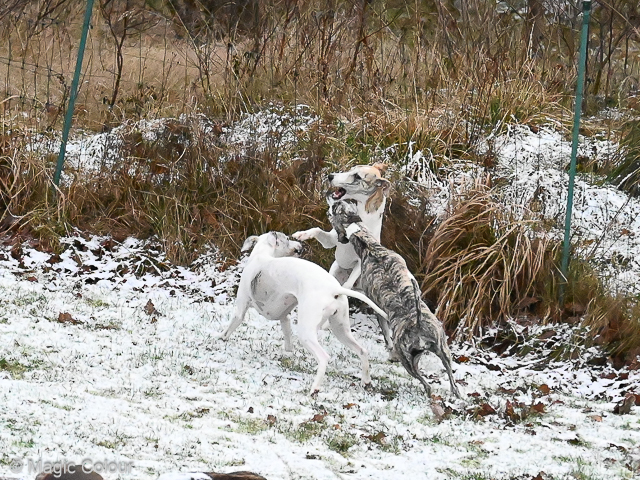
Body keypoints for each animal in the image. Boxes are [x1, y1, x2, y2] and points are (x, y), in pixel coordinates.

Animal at [221, 232, 390, 394]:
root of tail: (333, 288)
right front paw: (288, 354)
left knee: (323, 358)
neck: (262, 256)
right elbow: (288, 340)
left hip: (307, 332)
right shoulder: (284, 317)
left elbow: (230, 327)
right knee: (362, 351)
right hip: (340, 329)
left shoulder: (240, 309)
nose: (301, 245)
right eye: (287, 238)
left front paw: (220, 339)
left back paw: (314, 389)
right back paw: (366, 382)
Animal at [330, 199, 460, 398]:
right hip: (441, 350)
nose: (335, 200)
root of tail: (418, 325)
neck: (369, 246)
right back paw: (454, 394)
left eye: (336, 209)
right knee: (450, 379)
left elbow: (385, 332)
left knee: (426, 385)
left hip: (408, 360)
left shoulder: (375, 305)